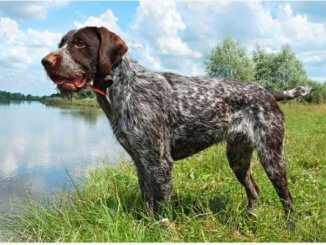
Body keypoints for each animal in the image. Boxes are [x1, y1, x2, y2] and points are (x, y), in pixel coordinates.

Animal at [42, 25, 310, 215]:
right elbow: (148, 203)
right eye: (61, 44)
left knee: (288, 200)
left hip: (272, 156)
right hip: (238, 158)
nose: (45, 61)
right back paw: (251, 217)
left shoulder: (160, 162)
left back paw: (290, 228)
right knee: (254, 190)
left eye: (80, 43)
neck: (121, 87)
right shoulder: (141, 162)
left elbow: (162, 209)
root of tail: (268, 92)